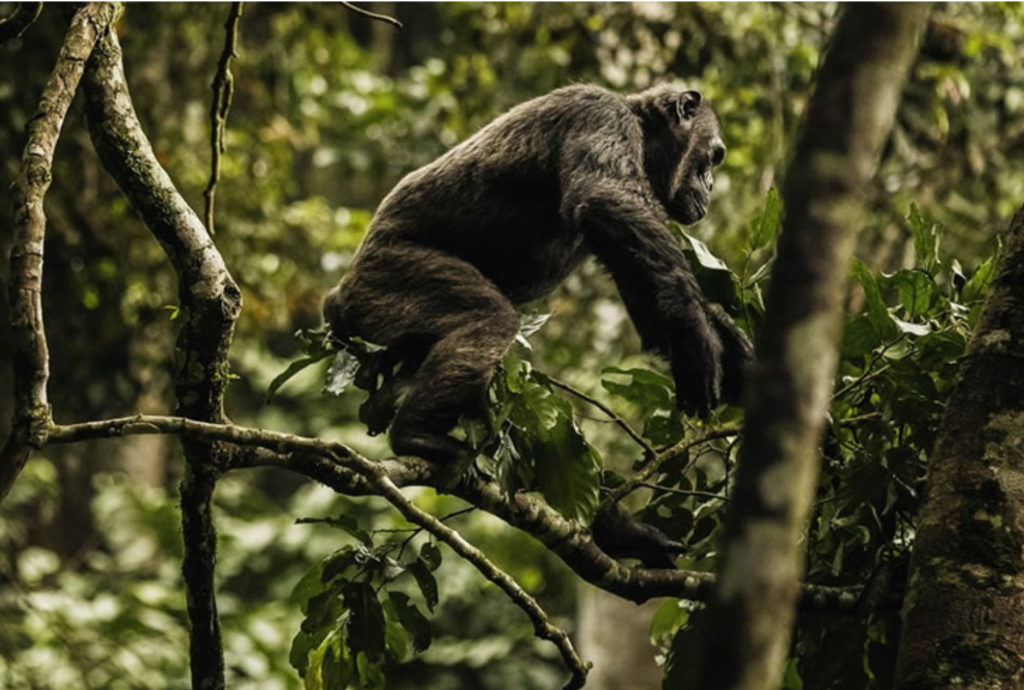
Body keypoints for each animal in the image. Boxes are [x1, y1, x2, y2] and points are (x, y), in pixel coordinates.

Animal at [324, 83, 752, 464]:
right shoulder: (600, 116)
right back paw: (416, 435)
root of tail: (338, 297)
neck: (641, 132)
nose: (711, 183)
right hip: (388, 277)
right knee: (488, 320)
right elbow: (607, 199)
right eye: (714, 157)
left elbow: (652, 303)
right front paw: (697, 340)